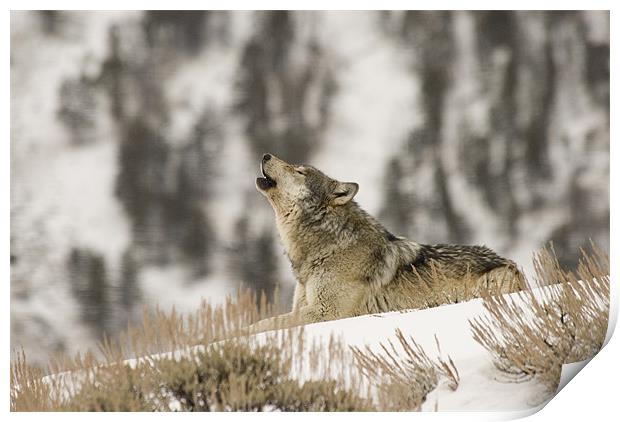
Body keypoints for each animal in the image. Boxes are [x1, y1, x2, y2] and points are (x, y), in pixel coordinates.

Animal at [251, 153, 524, 332]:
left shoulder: (326, 311)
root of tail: (512, 265)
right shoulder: (304, 306)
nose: (265, 154)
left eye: (299, 171)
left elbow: (267, 323)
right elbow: (267, 320)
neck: (329, 246)